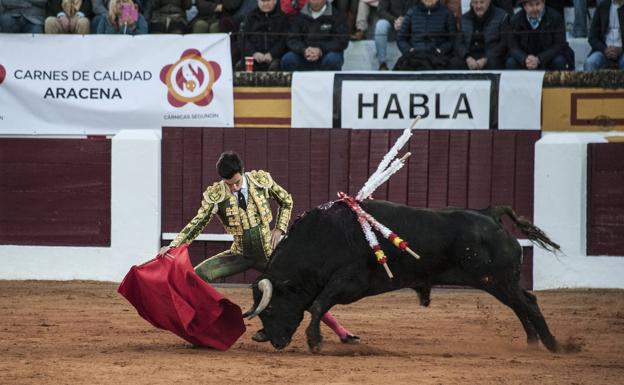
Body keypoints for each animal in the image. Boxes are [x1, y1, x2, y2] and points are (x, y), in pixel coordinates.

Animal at [244, 200, 560, 352]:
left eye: (269, 310)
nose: (265, 338)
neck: (321, 237)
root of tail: (490, 214)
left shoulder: (349, 282)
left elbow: (320, 304)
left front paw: (314, 341)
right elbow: (317, 305)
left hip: (498, 280)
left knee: (528, 304)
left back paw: (553, 345)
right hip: (498, 282)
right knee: (521, 304)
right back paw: (533, 342)